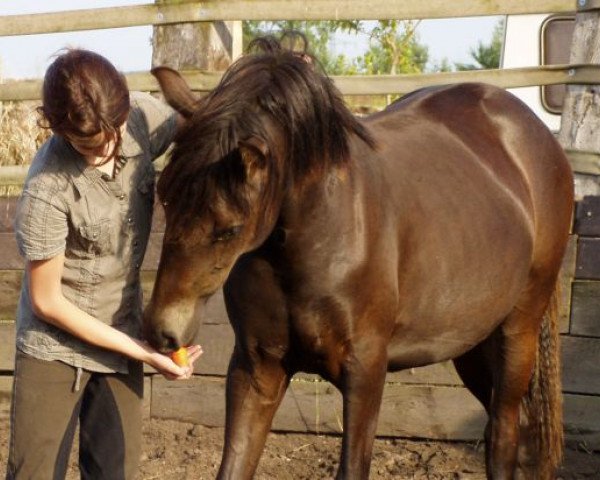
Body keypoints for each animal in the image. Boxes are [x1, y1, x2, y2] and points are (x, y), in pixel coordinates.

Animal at [143, 37, 576, 480]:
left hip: (516, 331)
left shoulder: (366, 371)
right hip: (472, 345)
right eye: (164, 199)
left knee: (504, 434)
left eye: (228, 229)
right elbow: (234, 463)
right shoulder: (257, 367)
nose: (162, 331)